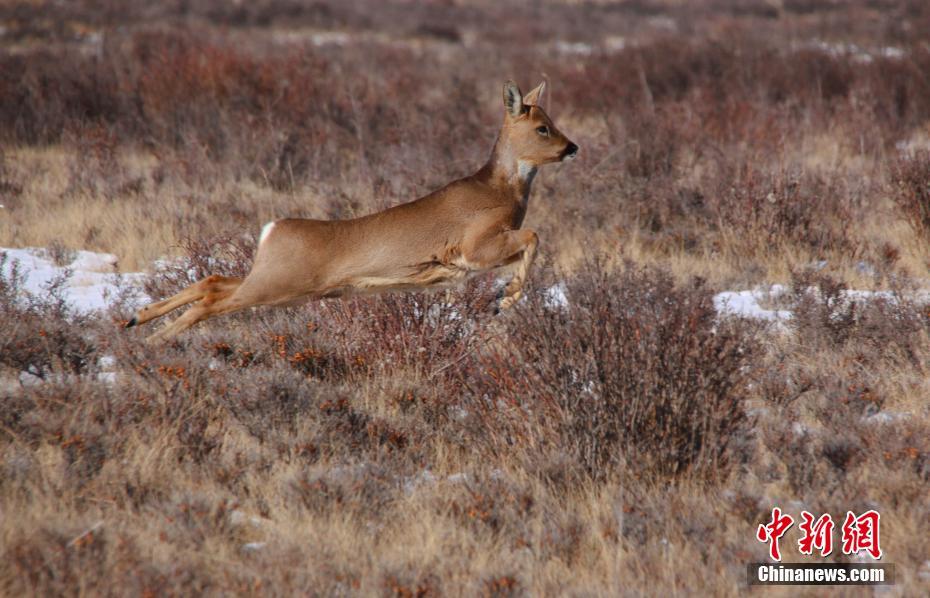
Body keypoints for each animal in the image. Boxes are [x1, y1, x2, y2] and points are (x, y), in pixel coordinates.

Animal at [126, 80, 578, 343]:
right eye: (542, 127)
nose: (572, 147)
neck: (500, 189)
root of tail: (271, 229)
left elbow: (532, 240)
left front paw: (503, 297)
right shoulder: (475, 246)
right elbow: (534, 236)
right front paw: (505, 299)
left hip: (277, 280)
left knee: (213, 280)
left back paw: (136, 320)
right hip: (278, 283)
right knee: (211, 302)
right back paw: (151, 341)